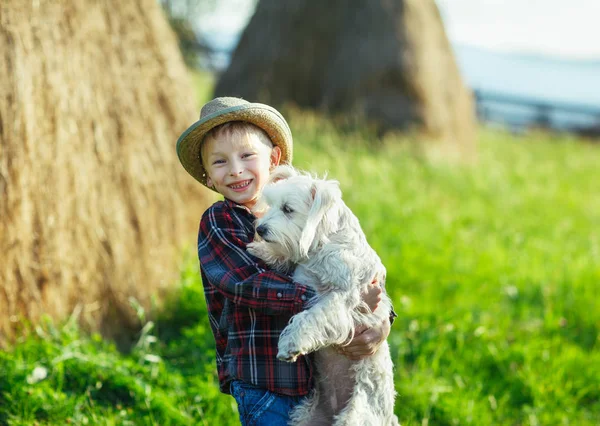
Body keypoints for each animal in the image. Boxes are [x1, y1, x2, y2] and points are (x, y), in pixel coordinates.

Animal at [247, 166, 398, 426]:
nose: (260, 229)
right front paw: (264, 251)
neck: (324, 245)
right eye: (271, 204)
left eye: (287, 209)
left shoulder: (341, 299)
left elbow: (312, 317)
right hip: (304, 416)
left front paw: (291, 344)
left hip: (356, 417)